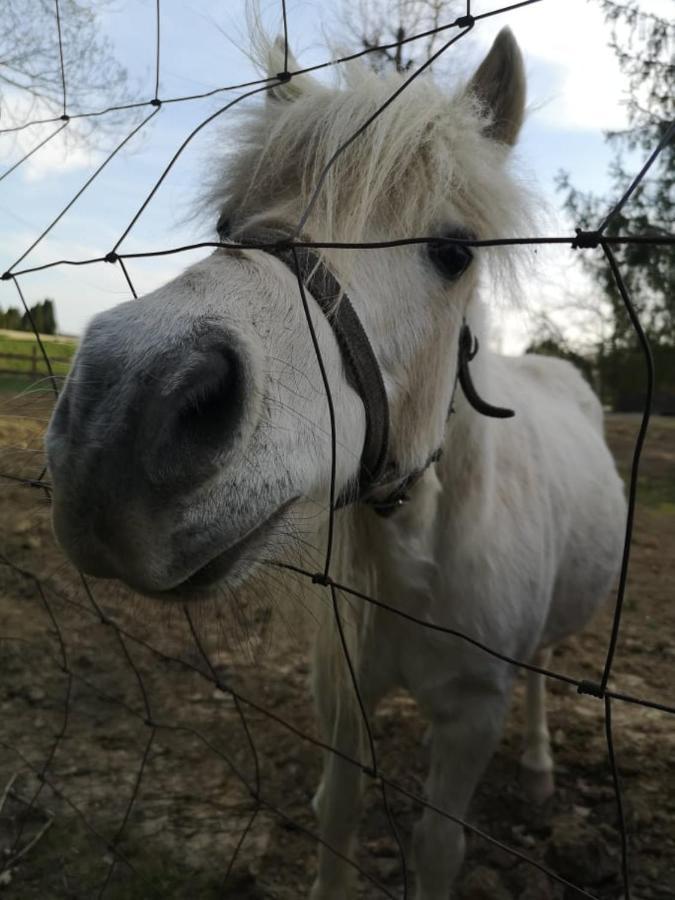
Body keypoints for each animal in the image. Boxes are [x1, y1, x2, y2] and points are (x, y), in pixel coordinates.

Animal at [48, 28, 628, 900]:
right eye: (226, 220)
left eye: (454, 252)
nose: (122, 417)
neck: (413, 556)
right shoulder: (340, 692)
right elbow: (340, 812)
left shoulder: (472, 713)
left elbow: (437, 845)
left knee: (536, 667)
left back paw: (535, 768)